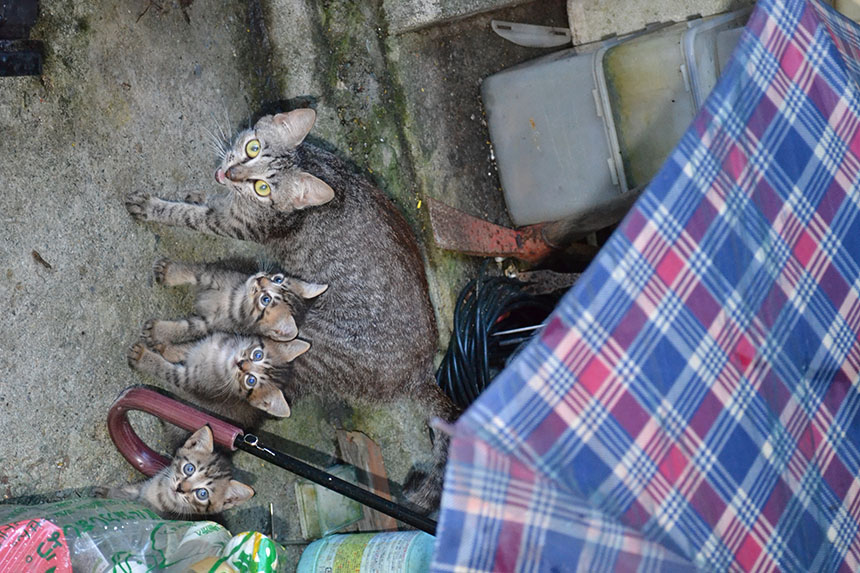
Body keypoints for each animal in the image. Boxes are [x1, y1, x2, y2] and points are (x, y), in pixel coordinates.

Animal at [127, 328, 310, 426]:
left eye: (251, 381)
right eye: (258, 355)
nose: (241, 364)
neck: (221, 358)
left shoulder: (190, 381)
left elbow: (165, 370)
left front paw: (143, 357)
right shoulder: (206, 342)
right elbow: (187, 348)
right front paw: (167, 347)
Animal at [144, 258, 326, 344]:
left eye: (265, 299)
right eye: (278, 279)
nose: (260, 279)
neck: (235, 300)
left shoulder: (209, 325)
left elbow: (185, 329)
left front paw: (157, 331)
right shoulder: (214, 273)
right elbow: (192, 272)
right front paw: (169, 272)